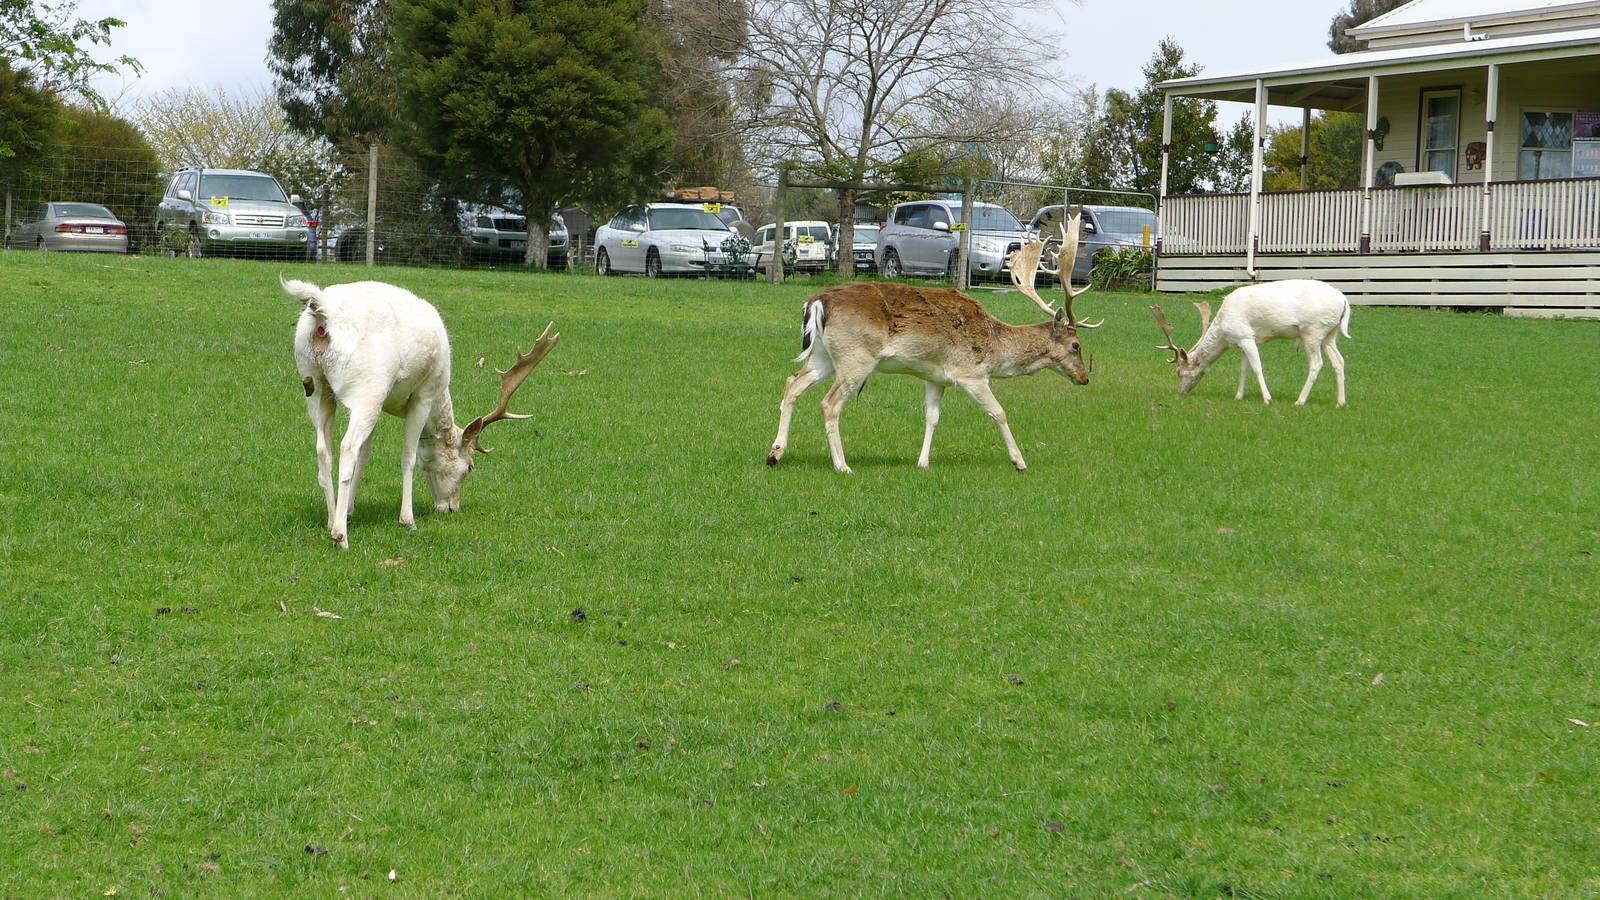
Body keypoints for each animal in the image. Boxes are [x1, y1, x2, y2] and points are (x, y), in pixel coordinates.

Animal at [283, 277, 558, 549]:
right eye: (470, 467)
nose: (453, 507)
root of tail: (323, 313)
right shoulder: (423, 396)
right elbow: (409, 455)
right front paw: (408, 519)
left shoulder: (382, 405)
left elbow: (366, 454)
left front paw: (349, 510)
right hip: (367, 388)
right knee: (347, 447)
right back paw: (340, 536)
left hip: (315, 385)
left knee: (323, 449)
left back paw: (332, 520)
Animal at [766, 214, 1100, 473]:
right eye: (1076, 344)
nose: (1084, 378)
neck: (995, 346)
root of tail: (816, 301)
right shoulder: (971, 373)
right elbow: (999, 412)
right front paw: (1019, 462)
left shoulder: (935, 377)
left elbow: (932, 417)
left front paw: (923, 462)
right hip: (855, 357)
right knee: (829, 404)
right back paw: (842, 465)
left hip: (823, 355)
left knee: (792, 382)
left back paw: (775, 453)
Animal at [1150, 279, 1350, 407]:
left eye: (1178, 372)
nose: (1181, 392)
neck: (1224, 333)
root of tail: (1344, 301)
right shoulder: (1248, 340)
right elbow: (1243, 367)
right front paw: (1238, 396)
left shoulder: (1244, 335)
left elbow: (1256, 366)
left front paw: (1267, 399)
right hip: (1329, 335)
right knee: (1339, 361)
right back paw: (1340, 402)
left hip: (1313, 330)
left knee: (1317, 364)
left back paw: (1300, 401)